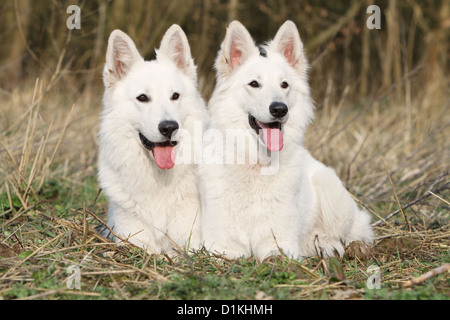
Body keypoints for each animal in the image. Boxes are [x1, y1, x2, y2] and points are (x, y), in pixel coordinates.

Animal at [98, 25, 207, 254]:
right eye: (142, 98)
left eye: (175, 96)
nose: (169, 127)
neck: (160, 179)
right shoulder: (133, 239)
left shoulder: (193, 242)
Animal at [200, 20, 372, 260]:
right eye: (254, 84)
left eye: (284, 85)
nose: (280, 109)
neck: (257, 164)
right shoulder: (222, 246)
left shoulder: (280, 242)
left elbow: (276, 255)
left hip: (330, 191)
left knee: (354, 230)